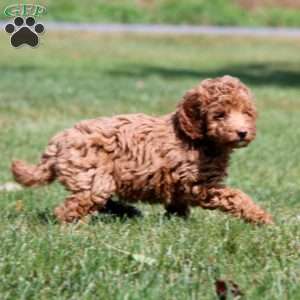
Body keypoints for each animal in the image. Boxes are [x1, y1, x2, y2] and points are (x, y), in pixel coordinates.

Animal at [11, 76, 274, 224]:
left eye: (246, 113)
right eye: (220, 115)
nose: (242, 133)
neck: (197, 138)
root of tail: (56, 144)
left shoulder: (179, 185)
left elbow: (178, 206)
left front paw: (178, 223)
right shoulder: (201, 185)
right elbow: (235, 196)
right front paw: (261, 218)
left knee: (97, 202)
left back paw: (127, 212)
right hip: (94, 177)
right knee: (70, 208)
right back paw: (76, 228)